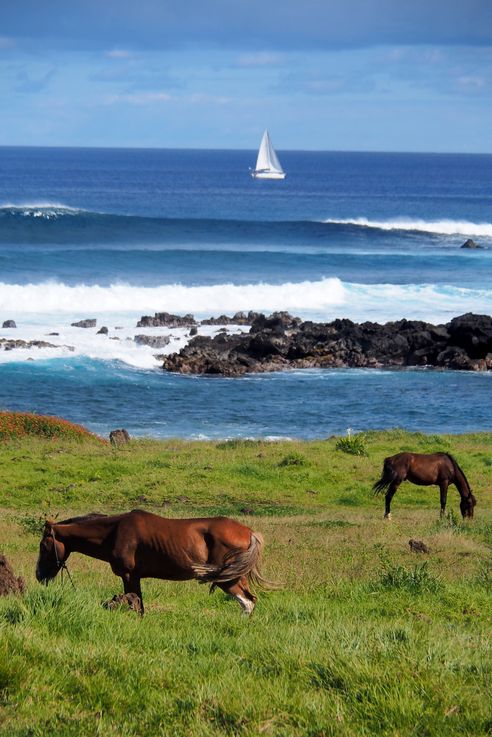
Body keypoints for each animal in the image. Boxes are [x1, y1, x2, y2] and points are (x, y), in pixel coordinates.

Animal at [36, 508, 270, 612]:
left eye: (43, 546)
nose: (39, 575)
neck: (115, 532)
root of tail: (249, 532)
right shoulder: (134, 577)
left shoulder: (129, 576)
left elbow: (136, 604)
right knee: (250, 600)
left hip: (228, 580)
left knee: (247, 602)